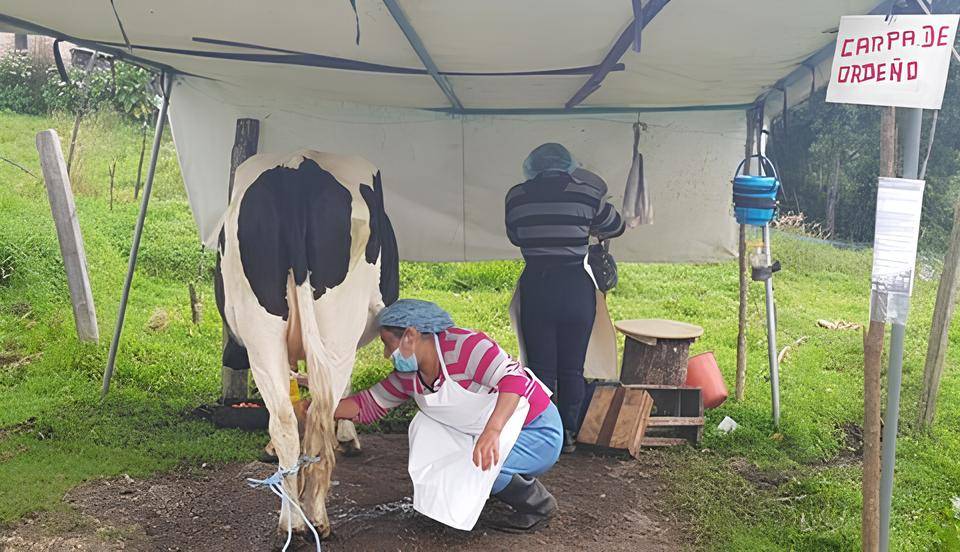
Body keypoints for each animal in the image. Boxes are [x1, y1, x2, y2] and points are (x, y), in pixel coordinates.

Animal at [214, 150, 399, 543]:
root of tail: (297, 171)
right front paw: (348, 437)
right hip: (338, 329)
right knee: (319, 413)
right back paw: (316, 517)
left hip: (261, 331)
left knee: (284, 419)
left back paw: (292, 520)